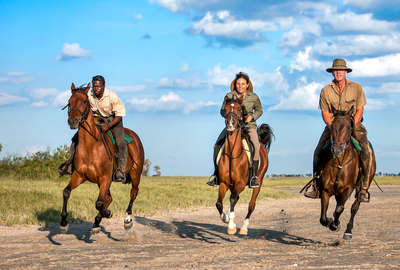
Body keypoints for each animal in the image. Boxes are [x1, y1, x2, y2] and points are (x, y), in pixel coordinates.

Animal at [60, 83, 145, 233]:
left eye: (84, 101)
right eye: (69, 102)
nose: (73, 121)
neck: (91, 147)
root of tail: (135, 137)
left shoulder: (105, 178)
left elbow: (99, 203)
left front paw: (108, 213)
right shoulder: (79, 175)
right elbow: (66, 192)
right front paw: (64, 222)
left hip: (135, 174)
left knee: (133, 193)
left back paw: (127, 220)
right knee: (109, 198)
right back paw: (96, 223)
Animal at [217, 96, 274, 235]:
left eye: (239, 109)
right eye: (225, 109)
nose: (230, 124)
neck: (232, 155)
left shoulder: (240, 184)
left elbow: (232, 199)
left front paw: (231, 226)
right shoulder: (224, 183)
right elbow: (219, 203)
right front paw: (226, 218)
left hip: (258, 183)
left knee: (251, 205)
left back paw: (243, 228)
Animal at [318, 108, 376, 239]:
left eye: (349, 127)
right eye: (332, 126)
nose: (337, 149)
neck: (339, 162)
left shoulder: (348, 189)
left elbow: (339, 209)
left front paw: (335, 225)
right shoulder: (325, 190)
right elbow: (323, 217)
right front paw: (330, 222)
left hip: (361, 187)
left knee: (354, 207)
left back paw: (348, 231)